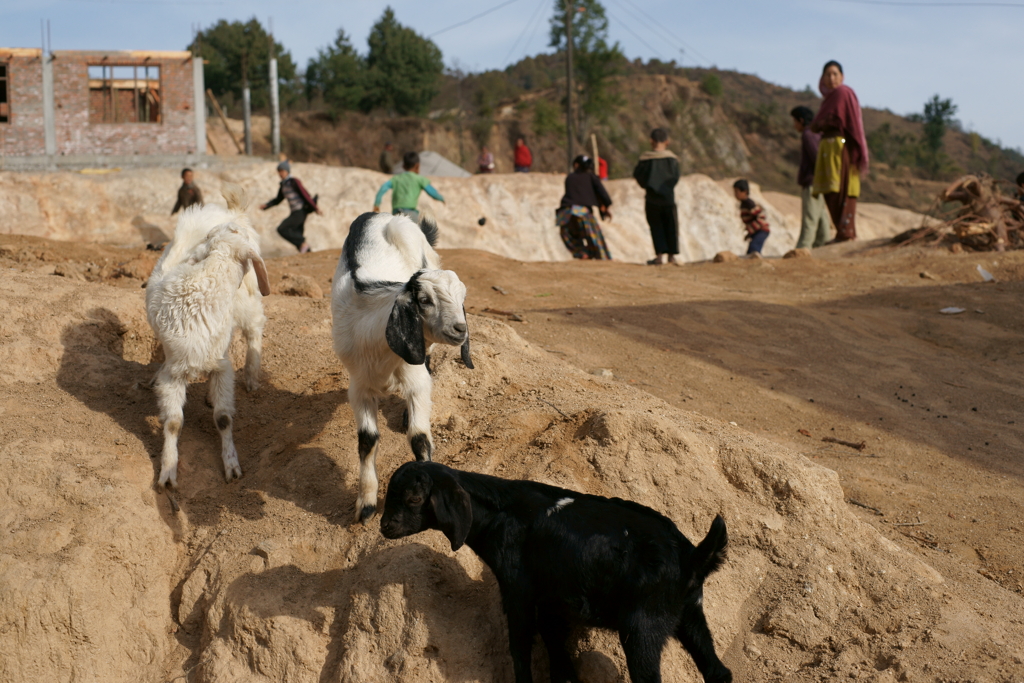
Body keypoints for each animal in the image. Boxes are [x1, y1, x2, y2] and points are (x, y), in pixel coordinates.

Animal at [147, 184, 272, 489]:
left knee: (254, 330)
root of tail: (234, 212)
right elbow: (173, 423)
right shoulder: (175, 372)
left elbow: (223, 418)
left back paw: (251, 376)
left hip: (248, 301)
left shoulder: (222, 366)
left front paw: (231, 465)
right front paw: (168, 471)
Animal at [333, 214, 473, 524]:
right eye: (425, 300)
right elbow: (367, 440)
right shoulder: (358, 387)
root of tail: (387, 217)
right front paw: (366, 505)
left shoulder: (416, 379)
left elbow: (419, 438)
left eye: (462, 299)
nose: (461, 329)